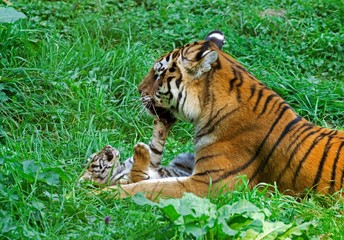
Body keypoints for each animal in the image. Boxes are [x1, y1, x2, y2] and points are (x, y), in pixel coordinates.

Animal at [106, 30, 342, 199]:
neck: (207, 109)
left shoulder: (207, 184)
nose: (139, 90)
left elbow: (146, 187)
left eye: (158, 73)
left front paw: (102, 194)